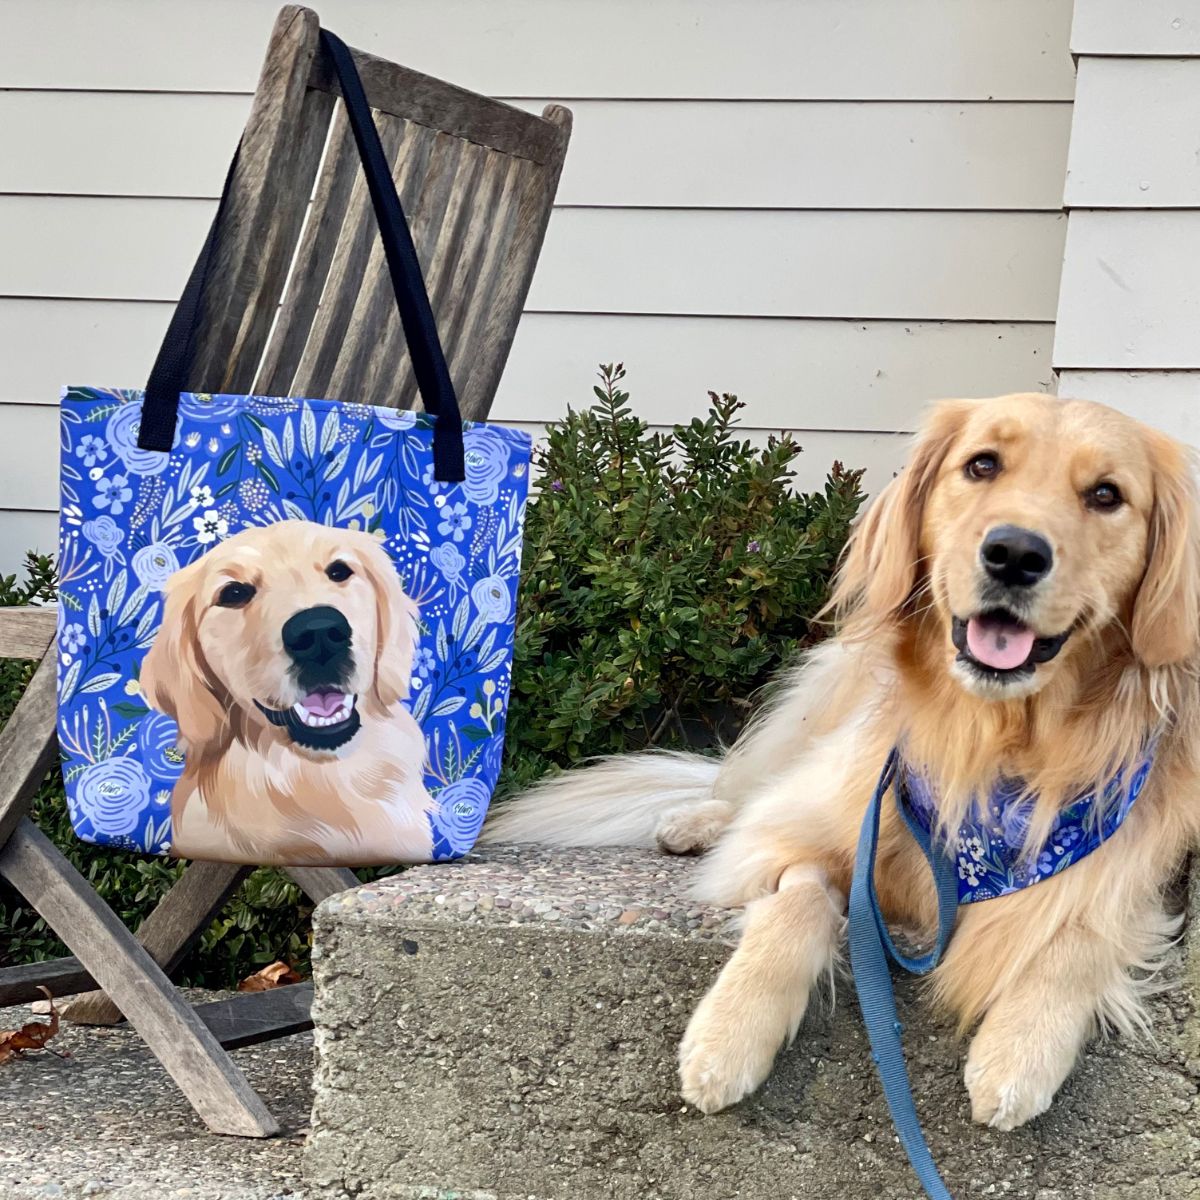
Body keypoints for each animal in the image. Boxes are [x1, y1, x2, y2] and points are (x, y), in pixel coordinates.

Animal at [484, 396, 1200, 1132]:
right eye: (982, 464)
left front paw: (1020, 1051)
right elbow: (795, 901)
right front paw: (728, 1034)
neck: (991, 748)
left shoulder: (1138, 881)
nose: (1014, 553)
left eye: (1106, 495)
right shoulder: (814, 831)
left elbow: (1078, 941)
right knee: (745, 785)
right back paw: (693, 821)